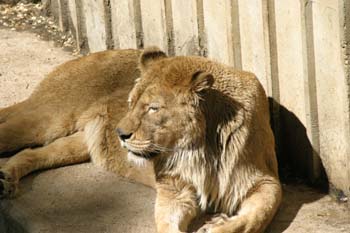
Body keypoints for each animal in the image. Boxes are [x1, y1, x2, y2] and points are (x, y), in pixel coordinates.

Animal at [0, 46, 284, 232]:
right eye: (131, 103)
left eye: (153, 109)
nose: (120, 133)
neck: (202, 148)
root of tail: (97, 53)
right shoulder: (173, 187)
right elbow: (167, 222)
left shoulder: (263, 178)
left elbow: (258, 214)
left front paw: (218, 226)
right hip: (46, 119)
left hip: (81, 142)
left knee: (33, 153)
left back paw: (6, 179)